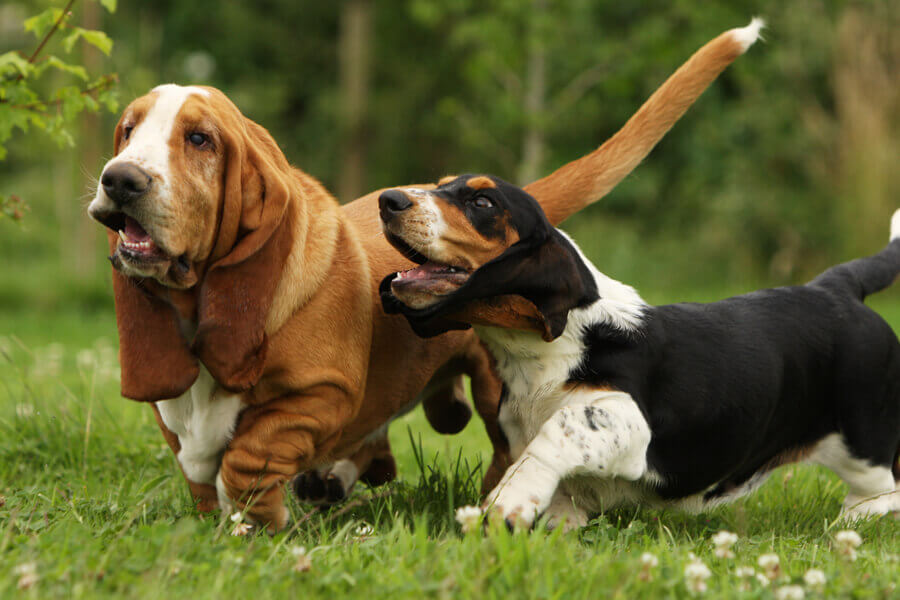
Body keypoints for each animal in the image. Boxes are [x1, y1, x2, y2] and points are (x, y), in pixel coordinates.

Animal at [378, 175, 900, 528]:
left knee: (881, 491)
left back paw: (853, 523)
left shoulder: (627, 420)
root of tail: (837, 287)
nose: (388, 200)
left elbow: (557, 432)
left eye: (482, 202)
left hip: (862, 442)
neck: (539, 355)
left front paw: (508, 502)